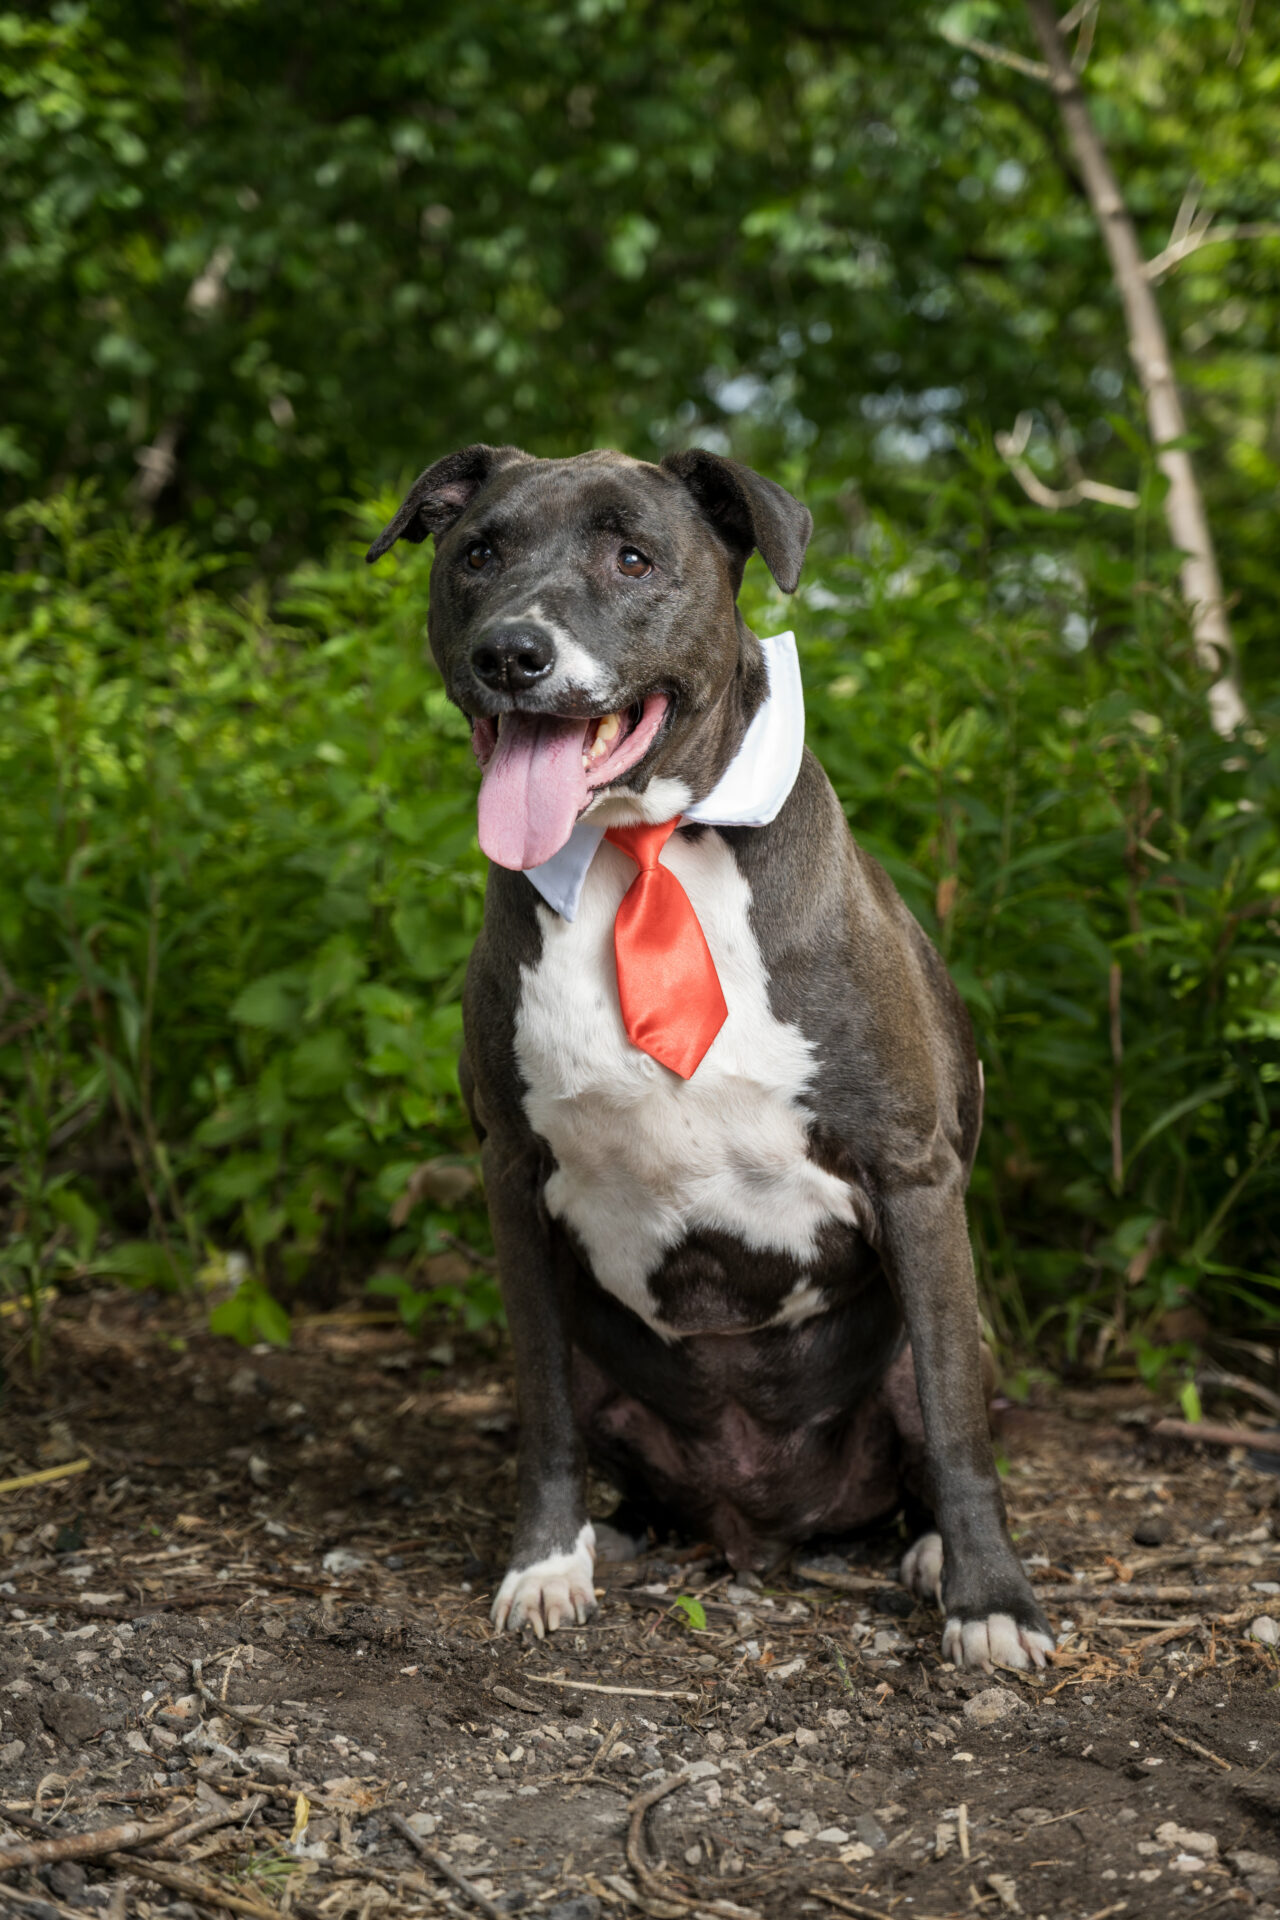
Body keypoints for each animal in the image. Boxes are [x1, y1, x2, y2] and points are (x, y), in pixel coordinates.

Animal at [368, 441, 1051, 1674]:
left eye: (633, 557)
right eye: (477, 552)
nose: (511, 652)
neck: (639, 846)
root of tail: (758, 1524)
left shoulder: (912, 1172)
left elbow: (958, 1431)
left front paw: (992, 1604)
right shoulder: (510, 1178)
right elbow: (543, 1413)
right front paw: (545, 1565)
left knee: (936, 1426)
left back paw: (933, 1554)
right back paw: (620, 1534)